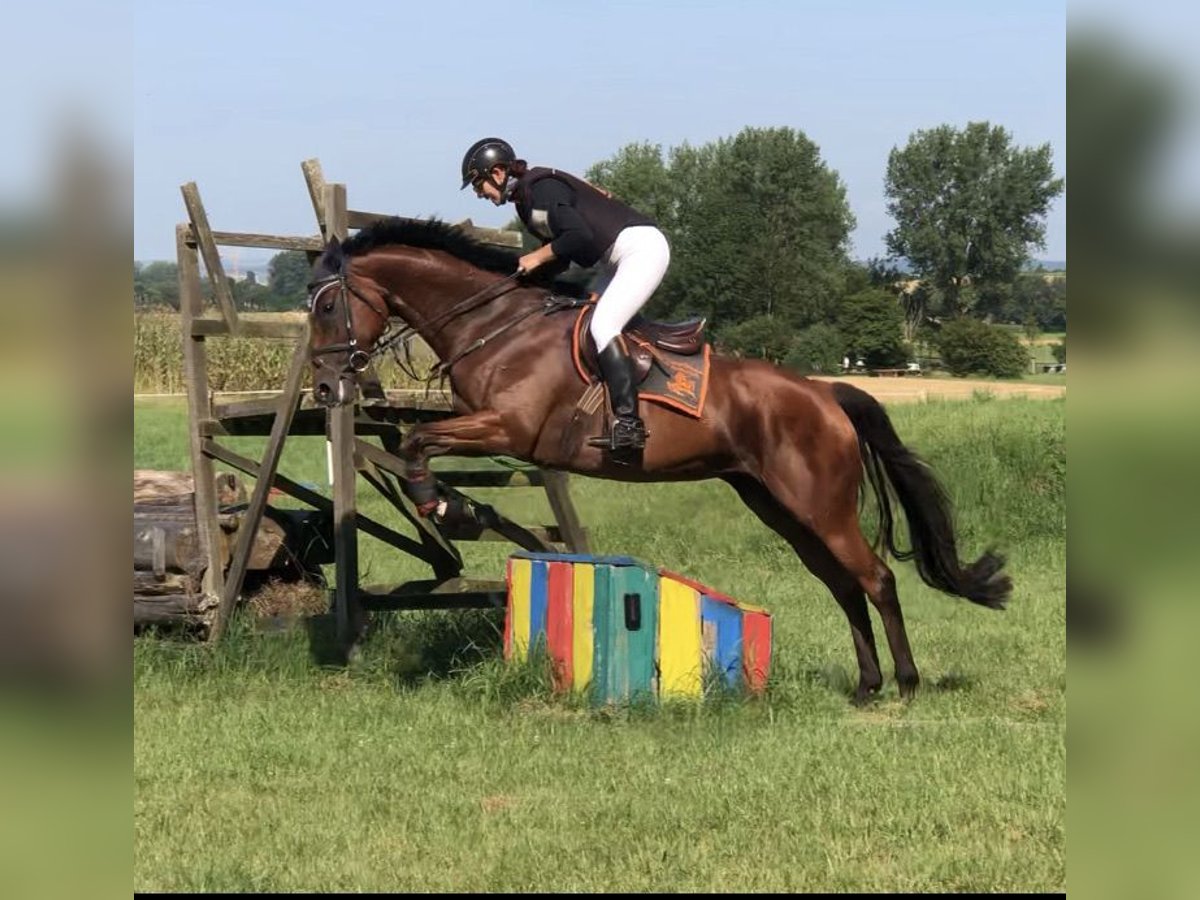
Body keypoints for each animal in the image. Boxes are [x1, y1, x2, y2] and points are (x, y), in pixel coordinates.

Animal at [304, 218, 1008, 705]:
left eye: (328, 306)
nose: (325, 386)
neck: (497, 325)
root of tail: (826, 393)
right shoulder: (493, 431)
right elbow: (414, 445)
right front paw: (457, 508)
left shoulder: (509, 428)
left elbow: (416, 445)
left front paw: (448, 509)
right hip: (779, 506)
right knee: (841, 584)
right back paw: (866, 685)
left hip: (820, 504)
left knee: (876, 578)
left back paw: (906, 683)